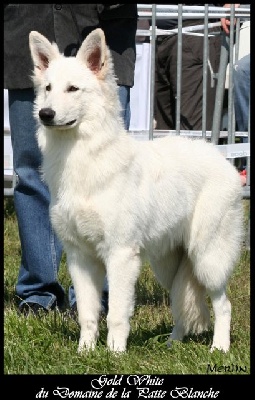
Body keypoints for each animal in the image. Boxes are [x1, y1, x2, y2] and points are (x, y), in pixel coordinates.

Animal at [29, 28, 243, 354]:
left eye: (73, 89)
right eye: (48, 88)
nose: (45, 113)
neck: (83, 158)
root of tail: (220, 156)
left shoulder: (120, 255)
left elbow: (116, 313)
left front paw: (115, 354)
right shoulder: (80, 258)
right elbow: (88, 313)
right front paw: (85, 352)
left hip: (208, 258)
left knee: (224, 304)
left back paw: (219, 348)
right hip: (167, 265)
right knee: (181, 302)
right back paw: (172, 343)